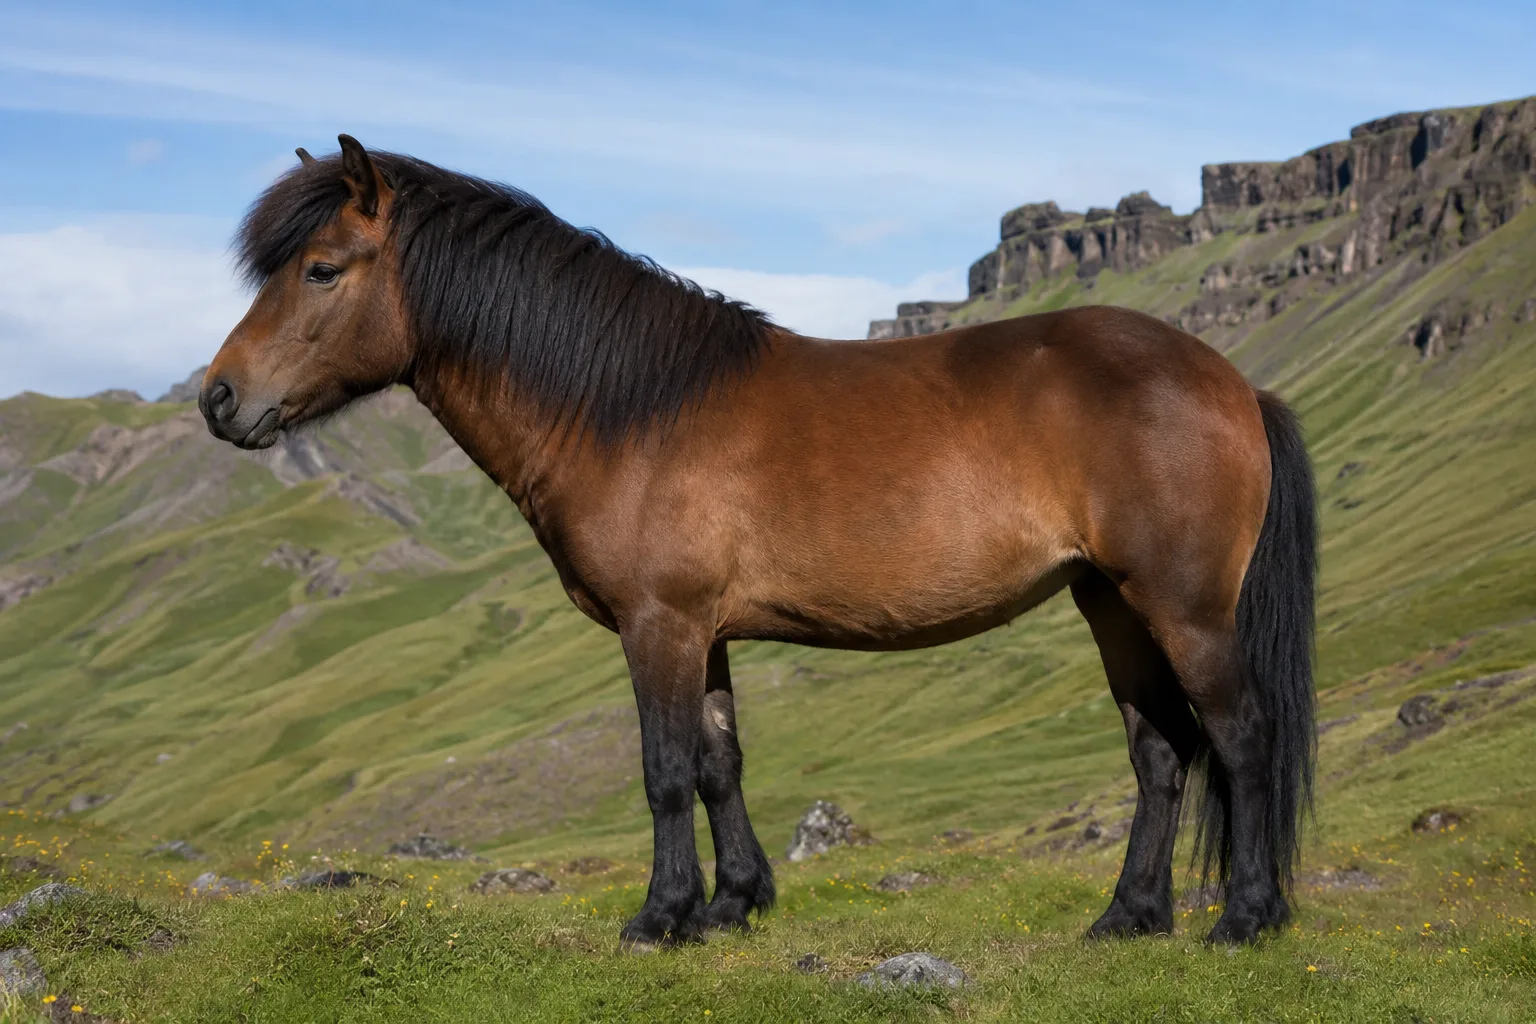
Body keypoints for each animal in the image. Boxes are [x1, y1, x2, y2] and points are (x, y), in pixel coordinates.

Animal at [200, 135, 1317, 947]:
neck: (630, 408)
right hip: (1111, 603)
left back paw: (1246, 918)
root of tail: (1231, 383)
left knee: (1239, 735)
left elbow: (662, 767)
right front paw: (735, 902)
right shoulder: (706, 632)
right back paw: (1129, 916)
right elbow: (717, 763)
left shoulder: (659, 625)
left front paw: (661, 917)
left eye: (321, 269)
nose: (219, 400)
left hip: (1183, 608)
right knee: (1160, 752)